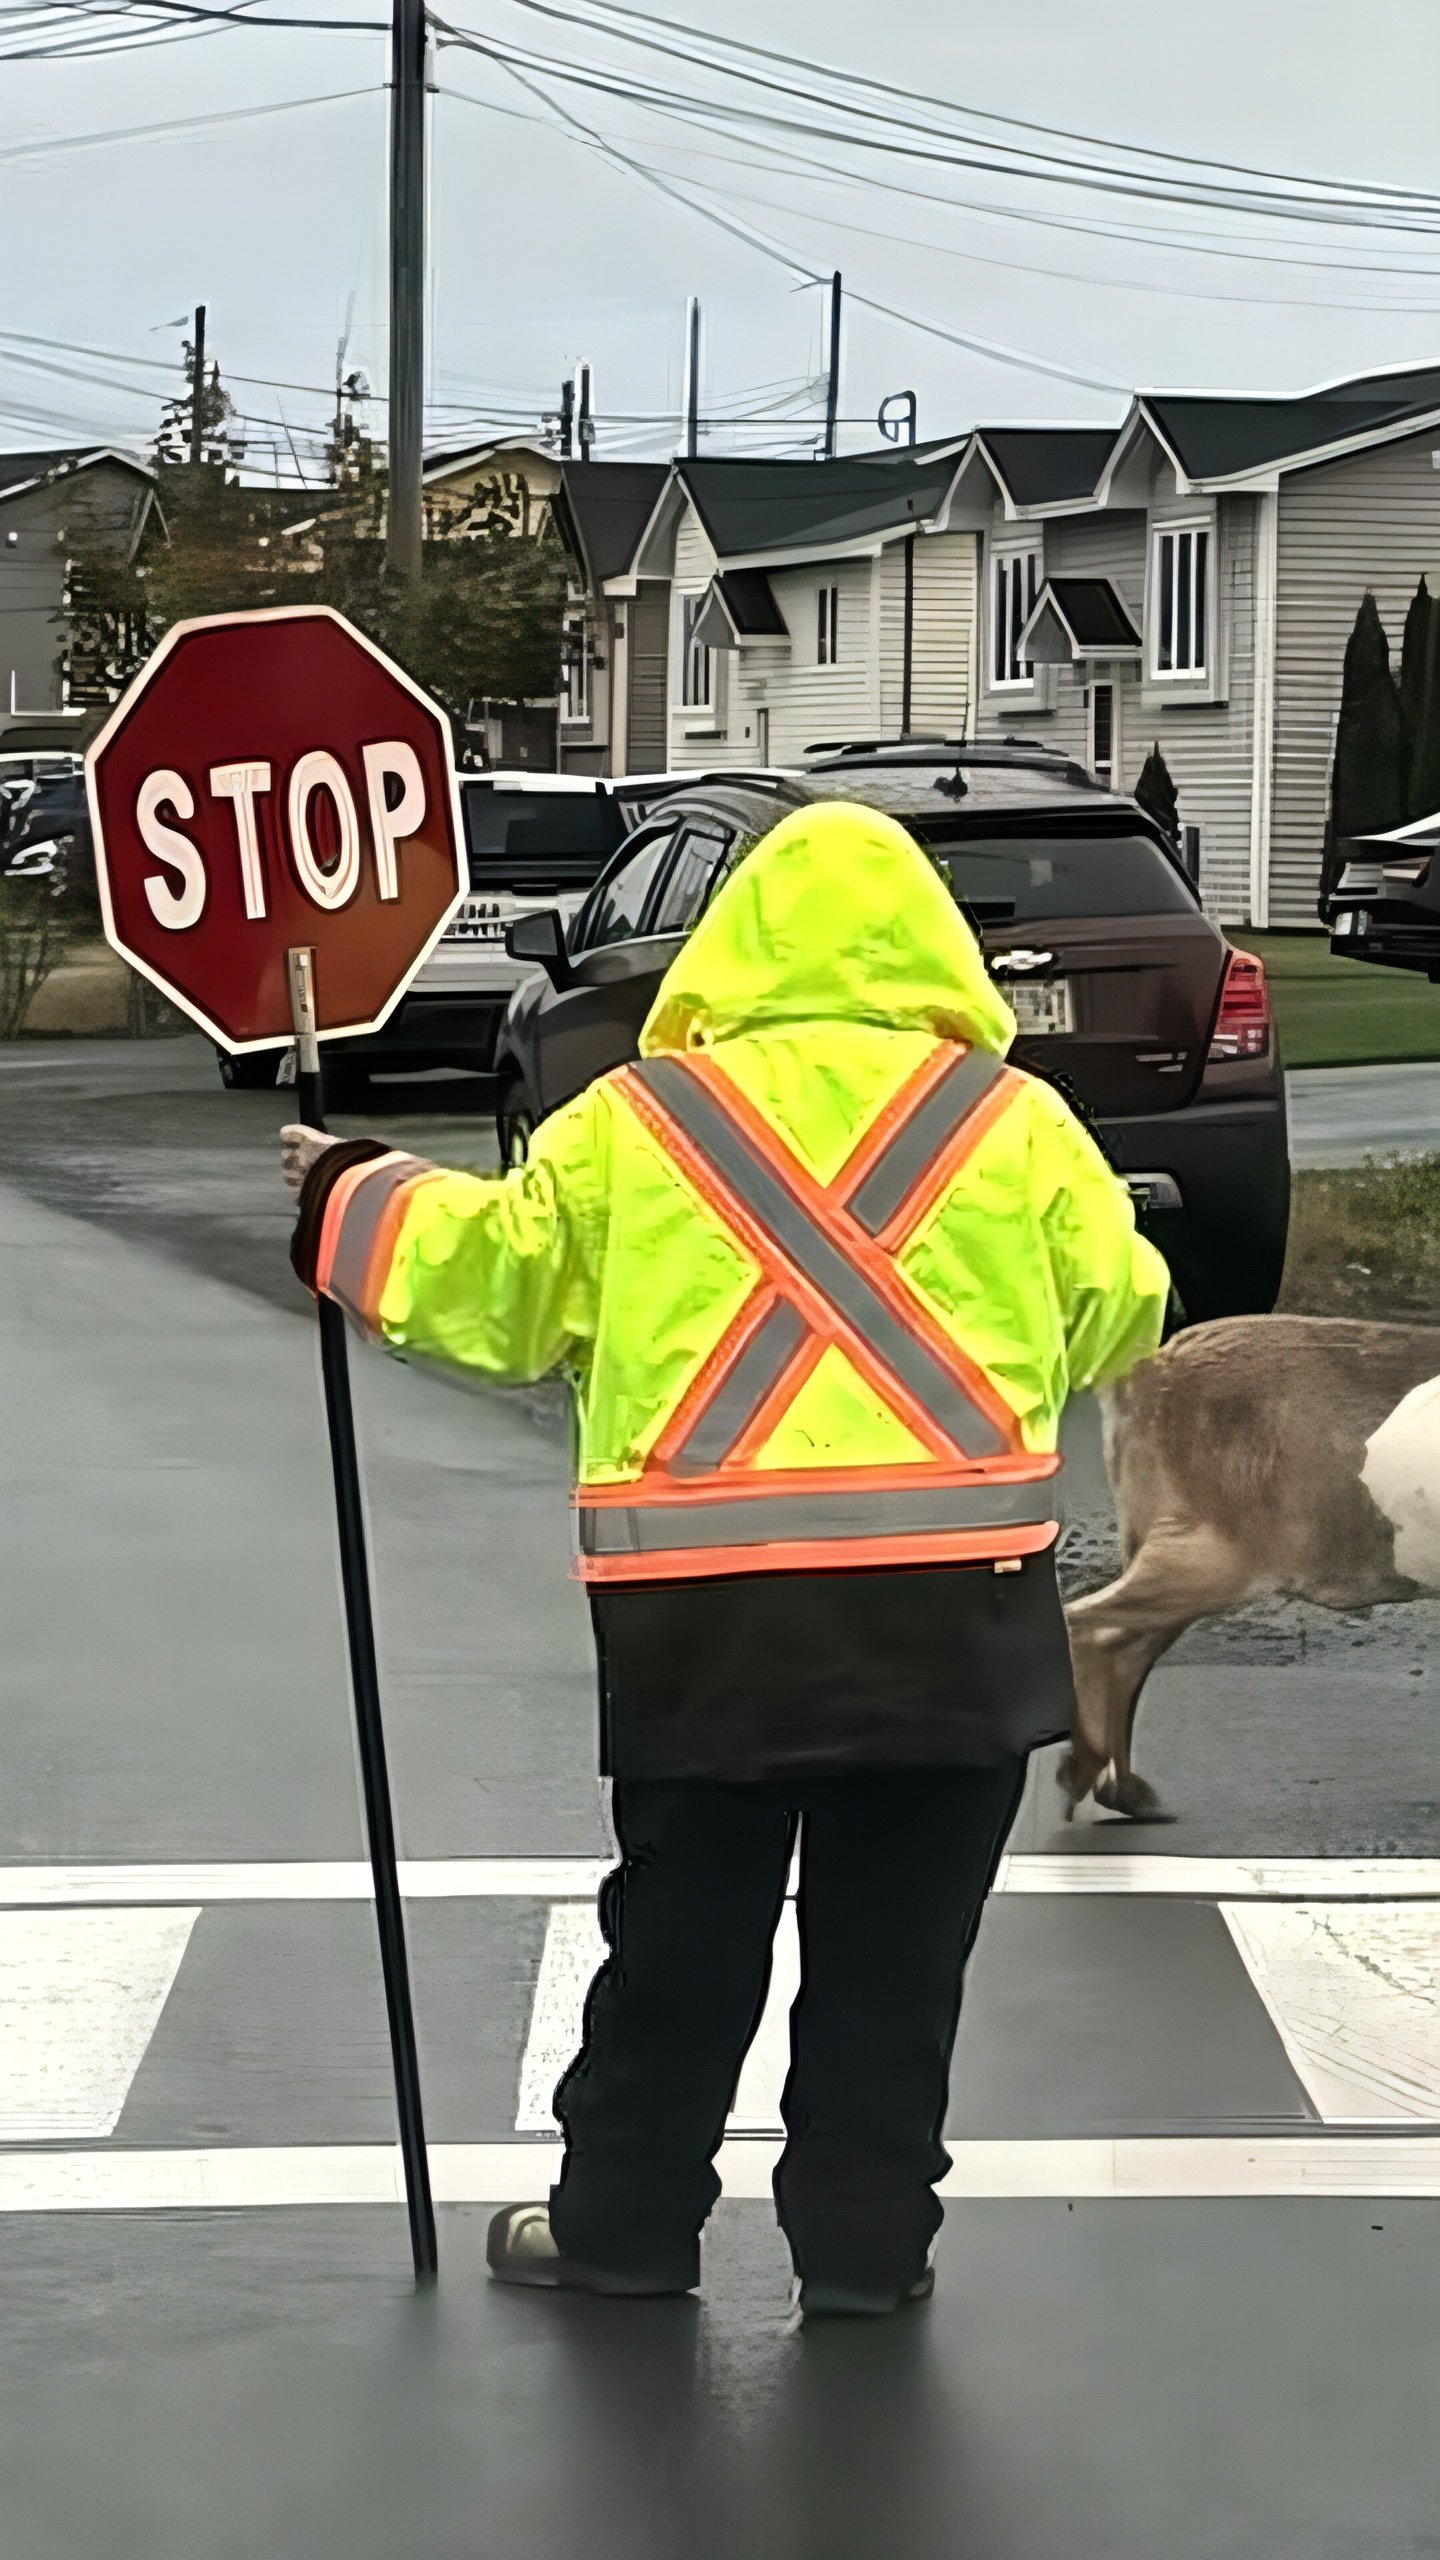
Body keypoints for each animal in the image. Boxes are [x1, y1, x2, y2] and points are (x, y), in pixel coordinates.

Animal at [1055, 1320, 1434, 1822]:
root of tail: (1145, 1378)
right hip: (1214, 1552)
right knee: (1087, 1624)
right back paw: (1085, 1776)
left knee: (1120, 1645)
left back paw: (1126, 1793)